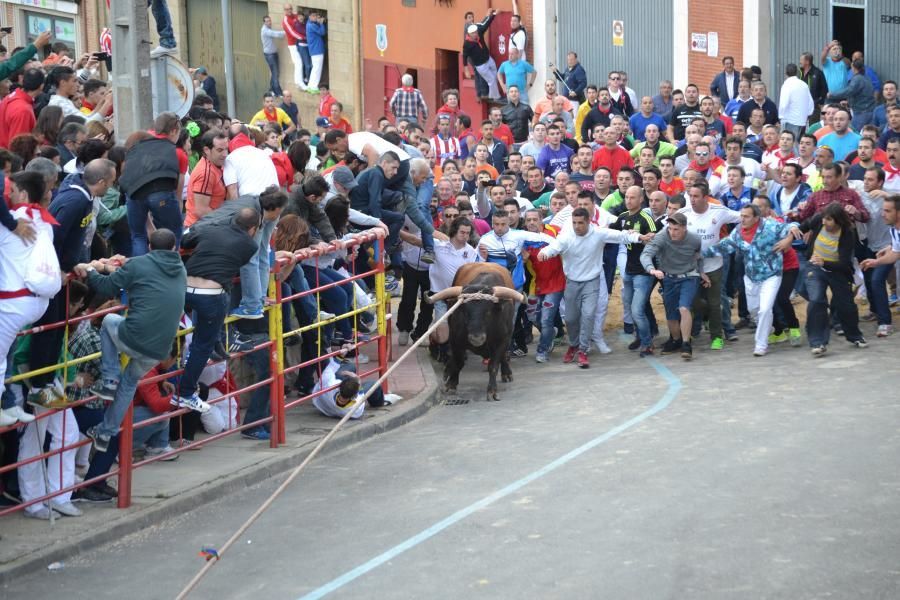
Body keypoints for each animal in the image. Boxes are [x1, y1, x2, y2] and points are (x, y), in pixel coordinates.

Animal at [428, 264, 528, 400]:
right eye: (465, 311)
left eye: (488, 312)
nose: (476, 338)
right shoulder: (455, 339)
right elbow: (458, 362)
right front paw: (452, 383)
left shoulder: (502, 340)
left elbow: (493, 366)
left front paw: (492, 390)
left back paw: (507, 373)